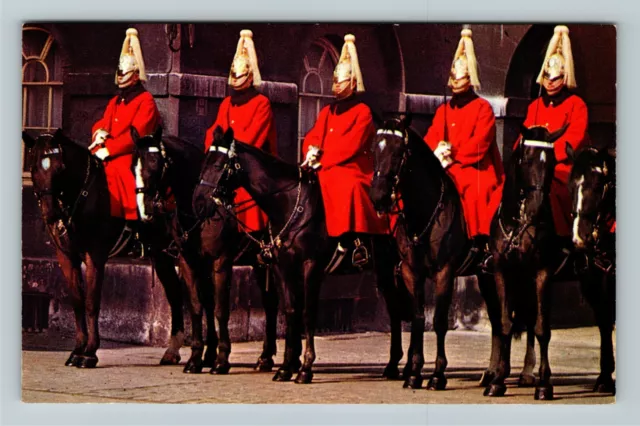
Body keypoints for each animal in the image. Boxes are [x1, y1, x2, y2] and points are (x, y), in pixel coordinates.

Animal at [22, 129, 186, 366]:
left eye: (60, 168)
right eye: (34, 168)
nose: (51, 214)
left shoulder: (95, 256)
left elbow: (92, 302)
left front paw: (90, 352)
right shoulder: (66, 257)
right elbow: (77, 301)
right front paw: (77, 350)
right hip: (161, 255)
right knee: (175, 293)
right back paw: (173, 351)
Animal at [132, 128, 278, 374]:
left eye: (155, 163)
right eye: (133, 165)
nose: (145, 209)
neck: (197, 213)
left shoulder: (220, 262)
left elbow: (219, 308)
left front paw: (221, 359)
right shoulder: (190, 262)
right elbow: (198, 306)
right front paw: (198, 357)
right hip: (260, 262)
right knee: (269, 302)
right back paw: (265, 358)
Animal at [195, 125, 404, 382]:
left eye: (218, 164)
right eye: (204, 160)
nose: (198, 202)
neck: (290, 204)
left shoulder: (310, 265)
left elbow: (307, 312)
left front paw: (305, 368)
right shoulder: (281, 266)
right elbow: (290, 310)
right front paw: (286, 367)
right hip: (384, 271)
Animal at [484, 123, 568, 400]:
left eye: (552, 162)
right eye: (526, 160)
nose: (537, 208)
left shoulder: (542, 273)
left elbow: (542, 327)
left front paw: (544, 384)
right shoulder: (502, 272)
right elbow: (505, 324)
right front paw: (497, 380)